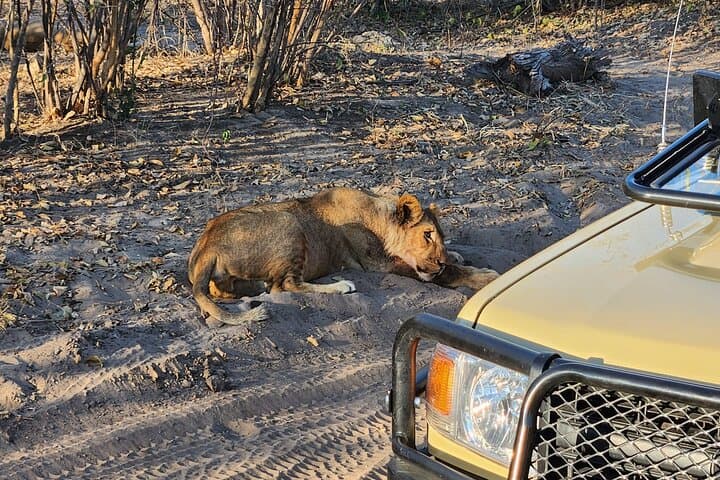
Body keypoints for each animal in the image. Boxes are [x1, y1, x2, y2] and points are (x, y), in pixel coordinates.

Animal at [188, 187, 499, 325]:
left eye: (440, 236)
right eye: (427, 235)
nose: (440, 261)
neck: (379, 216)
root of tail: (207, 246)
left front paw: (456, 255)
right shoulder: (378, 262)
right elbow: (446, 275)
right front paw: (485, 277)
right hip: (288, 222)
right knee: (284, 285)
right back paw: (341, 285)